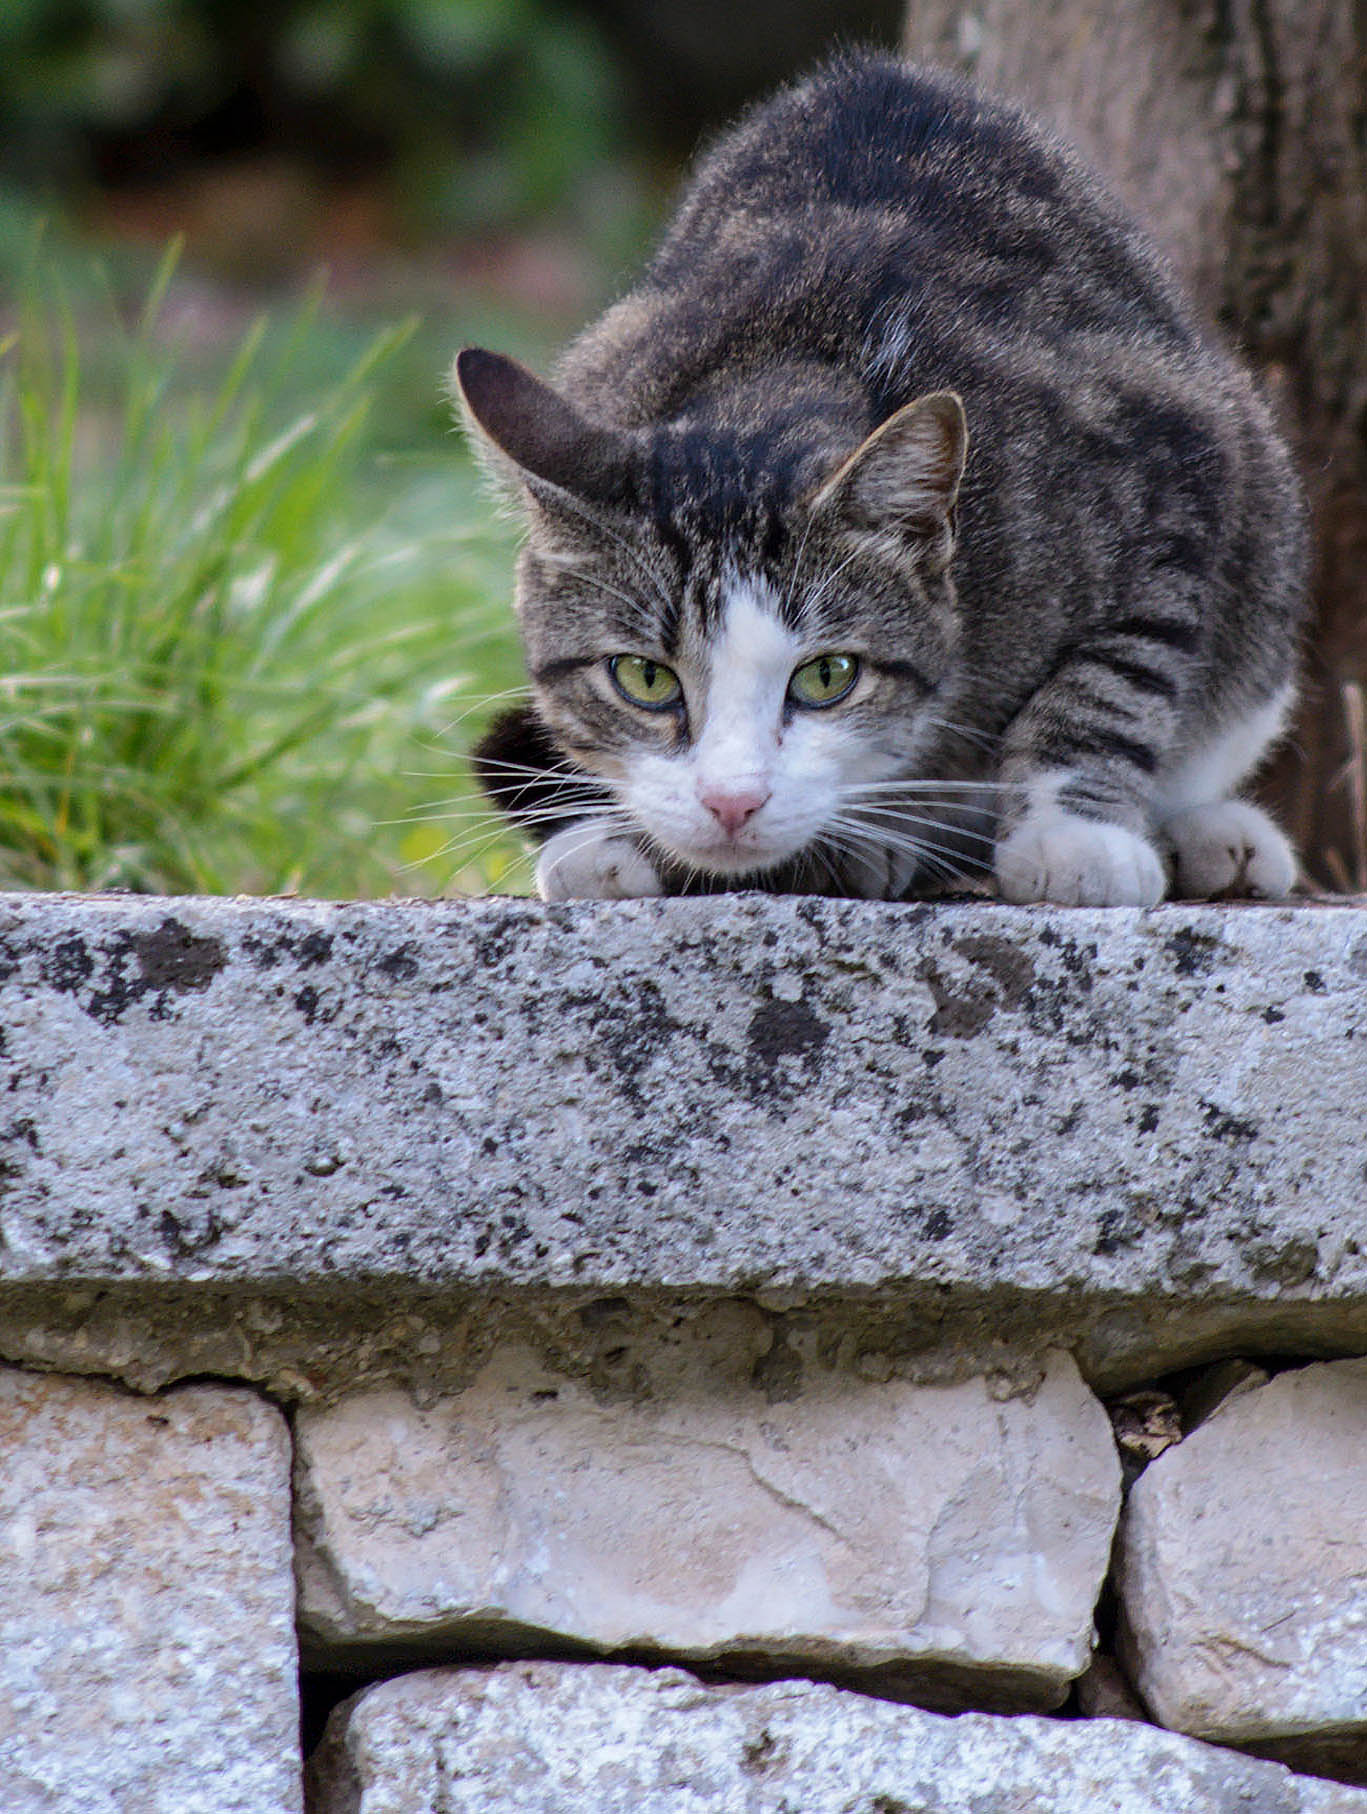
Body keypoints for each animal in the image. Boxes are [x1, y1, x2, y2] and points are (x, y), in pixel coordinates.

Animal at [455, 51, 1298, 907]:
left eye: (828, 676)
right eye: (644, 679)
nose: (731, 802)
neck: (785, 363)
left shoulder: (1172, 464)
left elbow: (1116, 677)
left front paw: (1073, 833)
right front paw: (613, 838)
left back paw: (1211, 834)